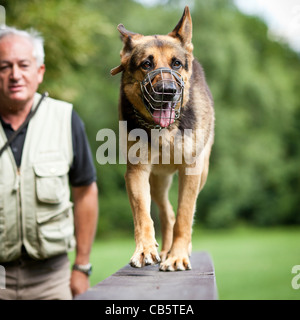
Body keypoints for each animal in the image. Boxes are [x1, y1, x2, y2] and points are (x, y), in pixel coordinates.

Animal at [111, 6, 214, 272]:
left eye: (176, 64)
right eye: (147, 64)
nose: (167, 91)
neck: (163, 131)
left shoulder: (191, 171)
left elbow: (185, 216)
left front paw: (177, 256)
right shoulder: (136, 172)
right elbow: (143, 215)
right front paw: (145, 249)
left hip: (202, 172)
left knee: (178, 215)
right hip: (157, 181)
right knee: (167, 213)